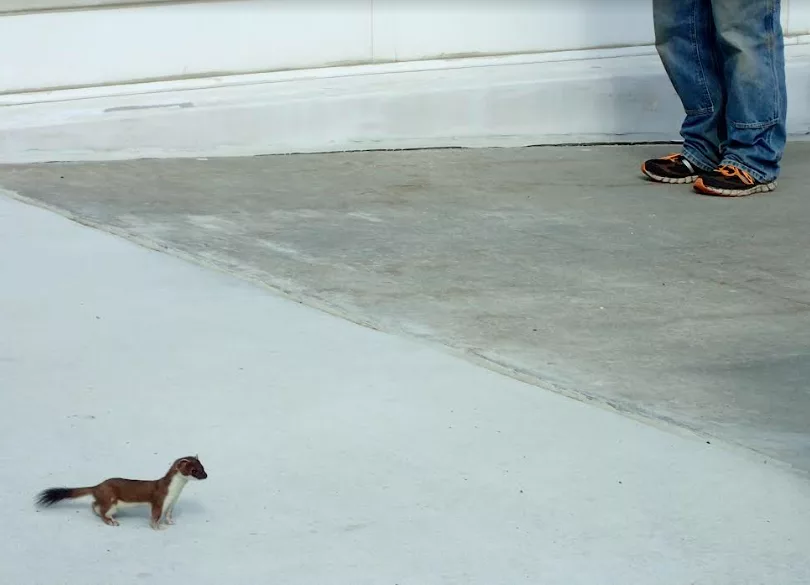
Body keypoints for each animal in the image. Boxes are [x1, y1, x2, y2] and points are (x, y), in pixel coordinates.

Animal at [36, 454, 207, 528]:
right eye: (194, 470)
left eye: (203, 467)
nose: (206, 476)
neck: (175, 491)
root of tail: (98, 485)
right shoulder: (159, 500)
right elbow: (155, 516)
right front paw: (159, 527)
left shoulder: (172, 502)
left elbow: (169, 514)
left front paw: (170, 522)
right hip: (111, 500)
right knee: (103, 511)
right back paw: (112, 521)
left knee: (94, 505)